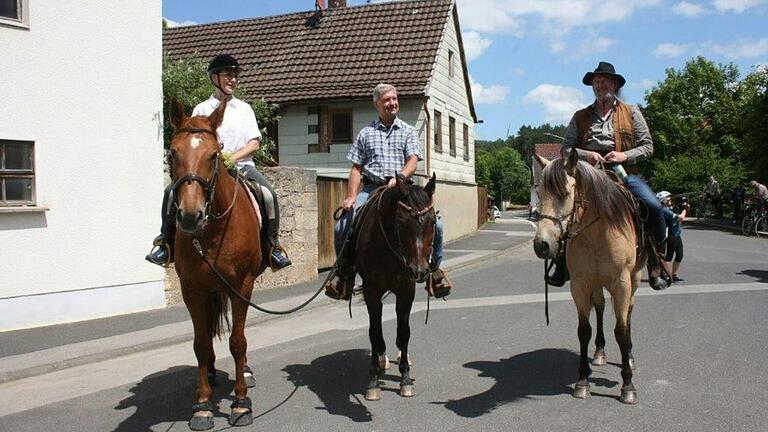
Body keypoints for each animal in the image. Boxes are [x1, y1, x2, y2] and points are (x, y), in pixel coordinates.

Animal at [166, 99, 266, 430]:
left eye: (214, 155)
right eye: (172, 153)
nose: (189, 216)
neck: (211, 232)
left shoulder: (241, 286)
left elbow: (238, 342)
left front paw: (241, 403)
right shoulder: (192, 290)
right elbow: (200, 344)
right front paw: (202, 405)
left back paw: (244, 371)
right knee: (207, 337)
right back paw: (209, 372)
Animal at [356, 173, 438, 402]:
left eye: (433, 221)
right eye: (401, 221)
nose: (419, 271)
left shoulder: (406, 290)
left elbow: (404, 332)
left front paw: (406, 380)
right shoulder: (371, 291)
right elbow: (375, 332)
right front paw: (373, 381)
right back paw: (382, 359)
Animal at [532, 150, 644, 404]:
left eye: (565, 193)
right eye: (539, 193)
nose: (542, 245)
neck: (597, 234)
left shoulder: (621, 284)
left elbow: (621, 330)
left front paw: (628, 386)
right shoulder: (580, 285)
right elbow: (584, 330)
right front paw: (582, 382)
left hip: (634, 280)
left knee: (629, 313)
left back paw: (630, 356)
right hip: (596, 284)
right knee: (600, 307)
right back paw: (600, 352)